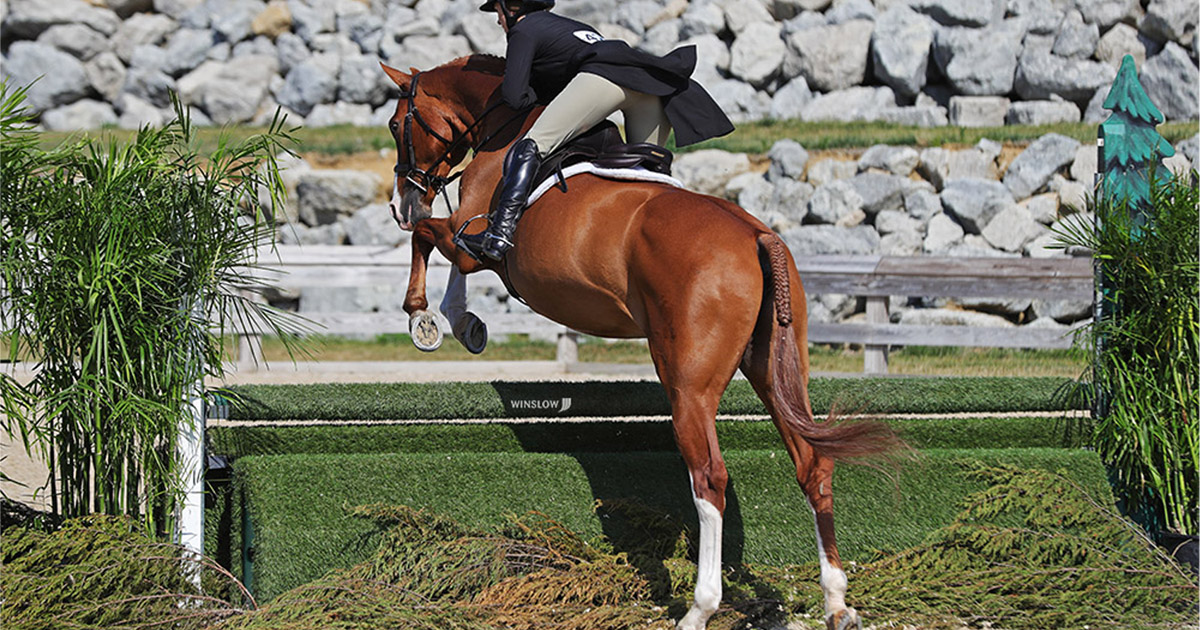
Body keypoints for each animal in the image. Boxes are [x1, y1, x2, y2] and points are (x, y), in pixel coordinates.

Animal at [379, 55, 897, 628]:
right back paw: (836, 601)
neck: (504, 125)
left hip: (688, 385)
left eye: (396, 126)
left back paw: (700, 608)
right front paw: (464, 323)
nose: (401, 203)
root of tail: (757, 236)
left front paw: (424, 319)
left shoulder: (470, 236)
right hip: (775, 369)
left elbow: (429, 239)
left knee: (709, 479)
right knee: (812, 464)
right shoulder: (468, 237)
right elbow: (444, 254)